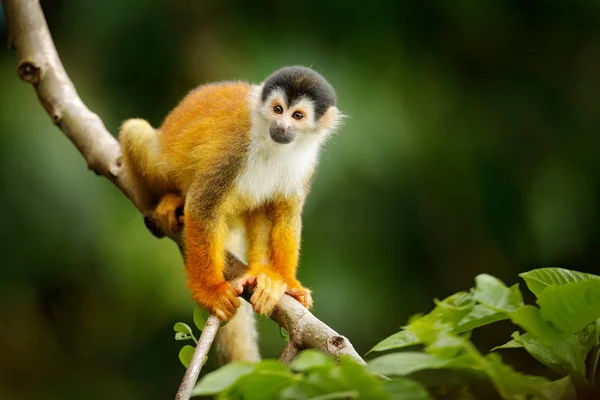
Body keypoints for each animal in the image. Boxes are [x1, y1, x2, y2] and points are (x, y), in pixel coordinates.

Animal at [118, 64, 342, 354]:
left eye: (298, 116)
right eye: (277, 109)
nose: (281, 126)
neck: (271, 143)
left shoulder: (306, 162)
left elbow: (286, 213)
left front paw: (287, 283)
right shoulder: (234, 149)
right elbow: (202, 206)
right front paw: (211, 292)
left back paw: (260, 272)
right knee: (136, 131)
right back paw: (169, 200)